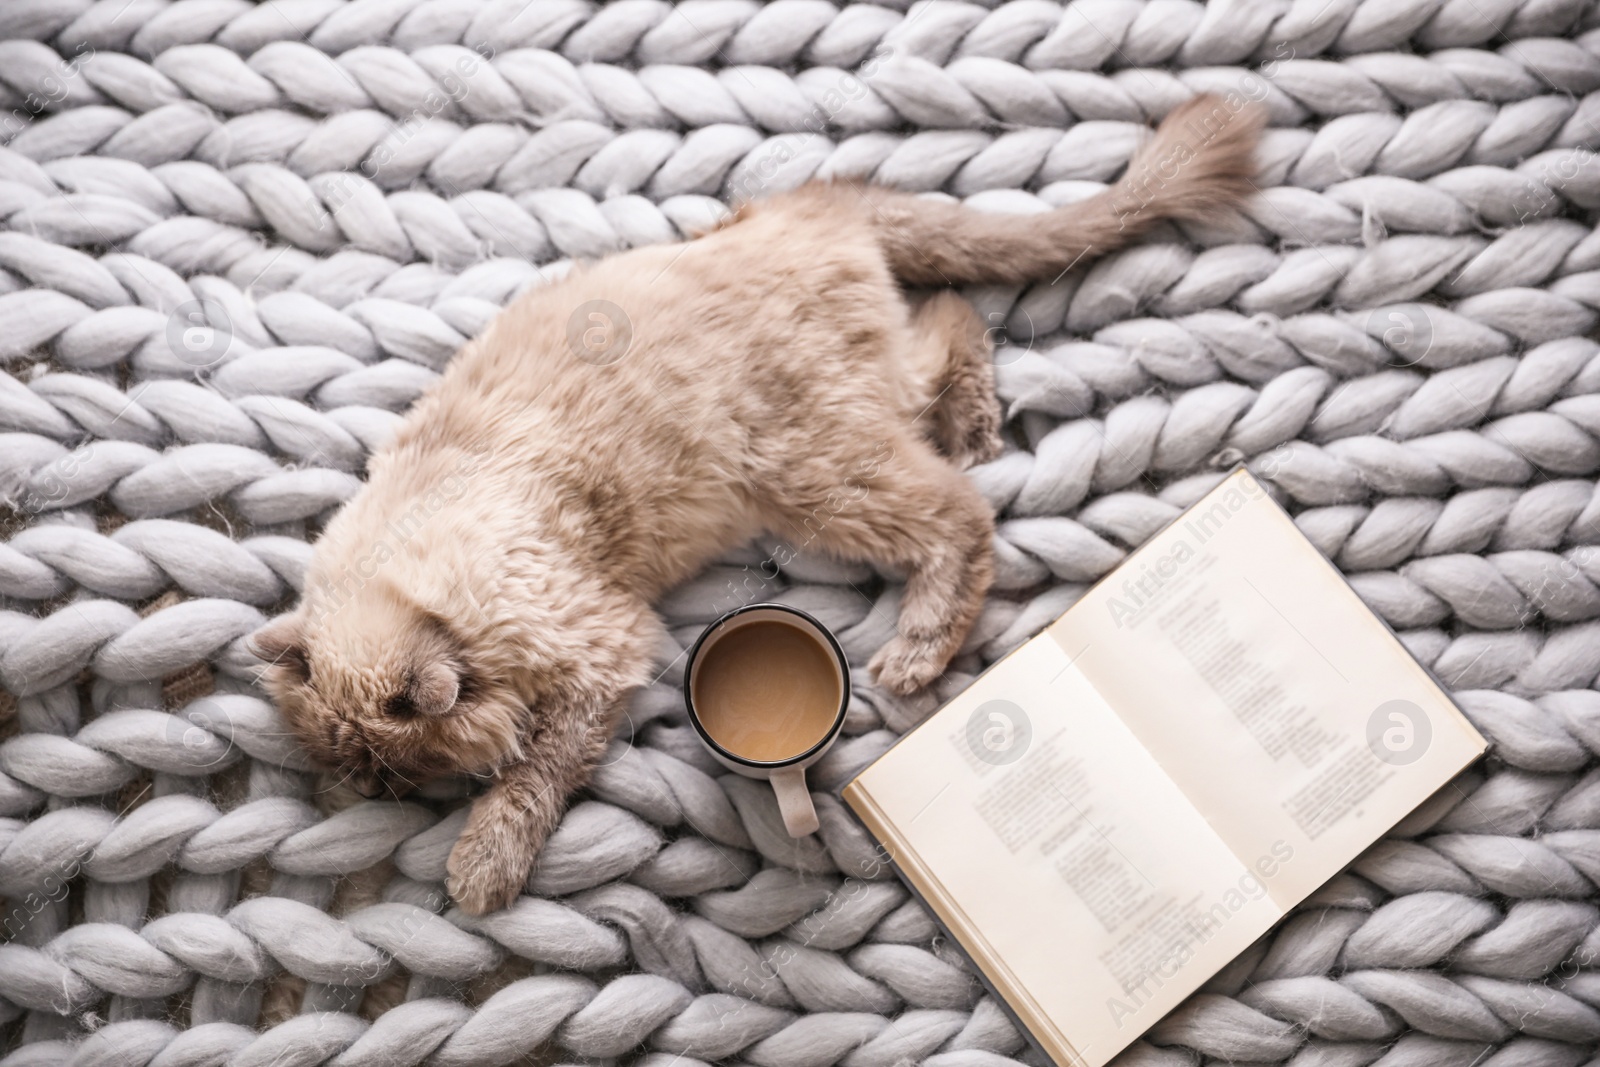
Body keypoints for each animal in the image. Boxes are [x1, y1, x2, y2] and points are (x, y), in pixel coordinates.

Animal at [249, 91, 1260, 915]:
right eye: (361, 773)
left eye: (404, 770)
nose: (373, 791)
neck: (415, 574)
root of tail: (810, 203)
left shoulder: (603, 652)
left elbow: (533, 778)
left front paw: (482, 864)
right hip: (850, 429)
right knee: (950, 322)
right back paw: (974, 422)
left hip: (816, 471)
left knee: (962, 509)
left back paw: (919, 646)